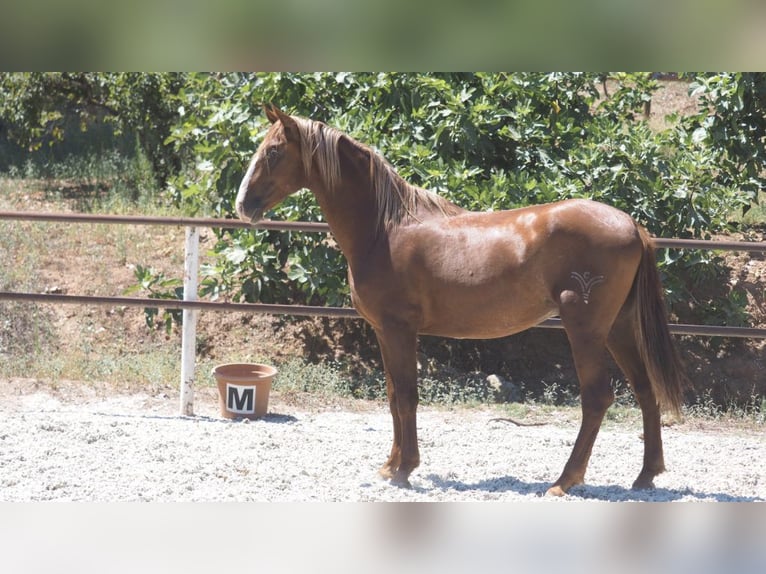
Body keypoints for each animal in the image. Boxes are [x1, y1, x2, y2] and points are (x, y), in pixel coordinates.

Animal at [236, 106, 688, 498]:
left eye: (273, 152)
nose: (243, 205)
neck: (384, 230)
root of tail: (632, 224)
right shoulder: (383, 332)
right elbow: (392, 396)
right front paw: (390, 465)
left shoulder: (399, 330)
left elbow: (407, 396)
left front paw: (404, 469)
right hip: (618, 328)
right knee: (645, 391)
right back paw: (645, 476)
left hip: (586, 330)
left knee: (597, 398)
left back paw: (564, 481)